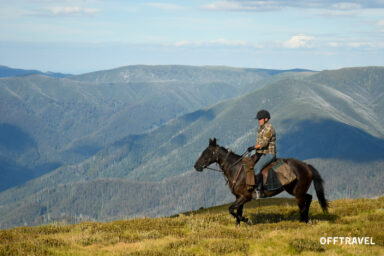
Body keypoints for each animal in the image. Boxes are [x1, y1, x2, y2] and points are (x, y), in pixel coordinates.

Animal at [194, 138, 328, 226]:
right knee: (309, 197)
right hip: (294, 190)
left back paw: (304, 220)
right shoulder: (239, 197)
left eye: (207, 153)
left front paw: (247, 221)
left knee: (304, 203)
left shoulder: (245, 197)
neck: (236, 168)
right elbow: (237, 212)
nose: (196, 166)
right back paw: (305, 219)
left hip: (298, 192)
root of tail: (306, 166)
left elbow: (231, 210)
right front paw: (238, 226)